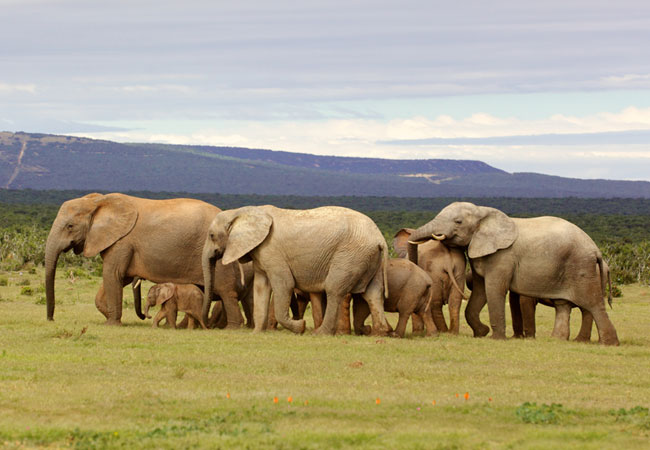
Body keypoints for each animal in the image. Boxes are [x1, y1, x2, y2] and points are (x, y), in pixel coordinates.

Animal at [44, 192, 249, 328]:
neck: (99, 201)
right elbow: (119, 279)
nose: (51, 319)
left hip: (217, 253)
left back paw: (232, 328)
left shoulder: (122, 242)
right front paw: (109, 316)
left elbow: (112, 275)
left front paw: (111, 324)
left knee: (226, 292)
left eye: (70, 226)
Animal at [200, 206, 390, 336]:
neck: (240, 212)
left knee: (334, 290)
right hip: (368, 258)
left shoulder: (272, 251)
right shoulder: (260, 253)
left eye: (211, 235)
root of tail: (380, 238)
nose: (207, 327)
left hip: (350, 256)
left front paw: (301, 327)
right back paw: (380, 332)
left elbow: (284, 284)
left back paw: (320, 333)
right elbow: (261, 288)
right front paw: (256, 333)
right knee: (373, 293)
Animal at [408, 202, 616, 346]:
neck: (483, 211)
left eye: (458, 222)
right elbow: (481, 292)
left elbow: (494, 290)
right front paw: (482, 333)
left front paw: (496, 339)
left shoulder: (503, 256)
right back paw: (558, 340)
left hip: (581, 267)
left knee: (592, 304)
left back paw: (607, 343)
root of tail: (596, 249)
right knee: (563, 305)